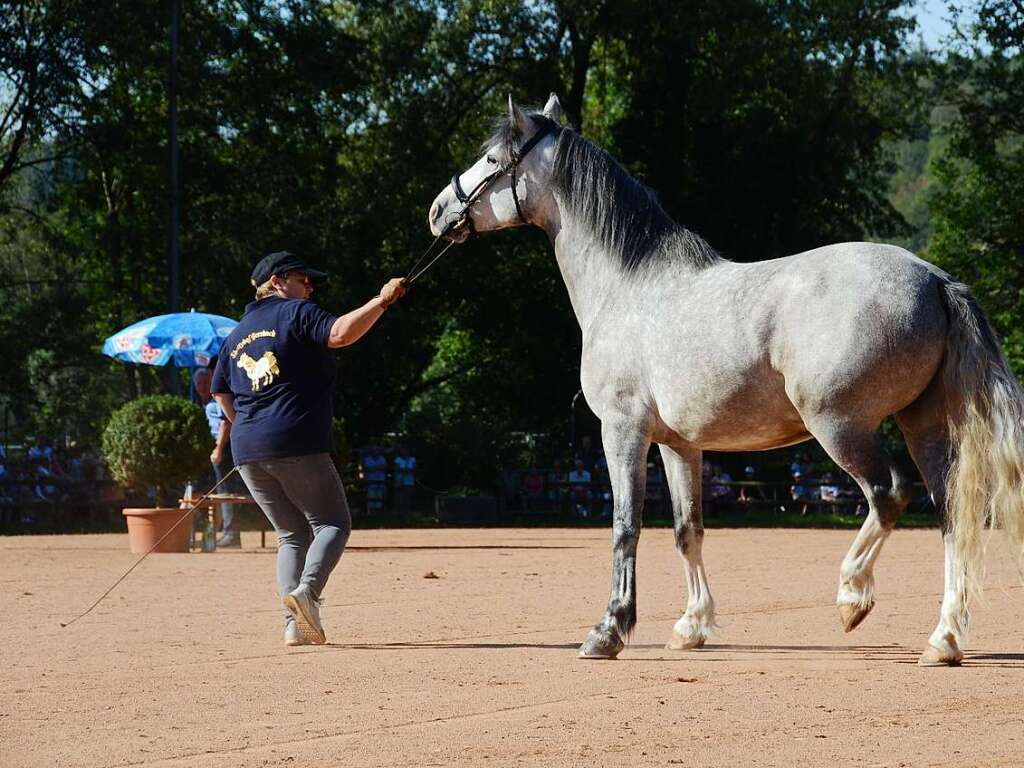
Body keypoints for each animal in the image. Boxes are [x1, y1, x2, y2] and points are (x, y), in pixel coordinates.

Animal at [425, 93, 1024, 663]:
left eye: (493, 159)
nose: (438, 210)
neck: (626, 287)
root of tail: (936, 280)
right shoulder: (678, 445)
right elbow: (687, 530)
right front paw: (691, 627)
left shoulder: (621, 432)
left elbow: (624, 528)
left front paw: (609, 631)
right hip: (922, 425)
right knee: (952, 515)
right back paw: (943, 640)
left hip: (841, 426)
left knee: (889, 494)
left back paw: (852, 595)